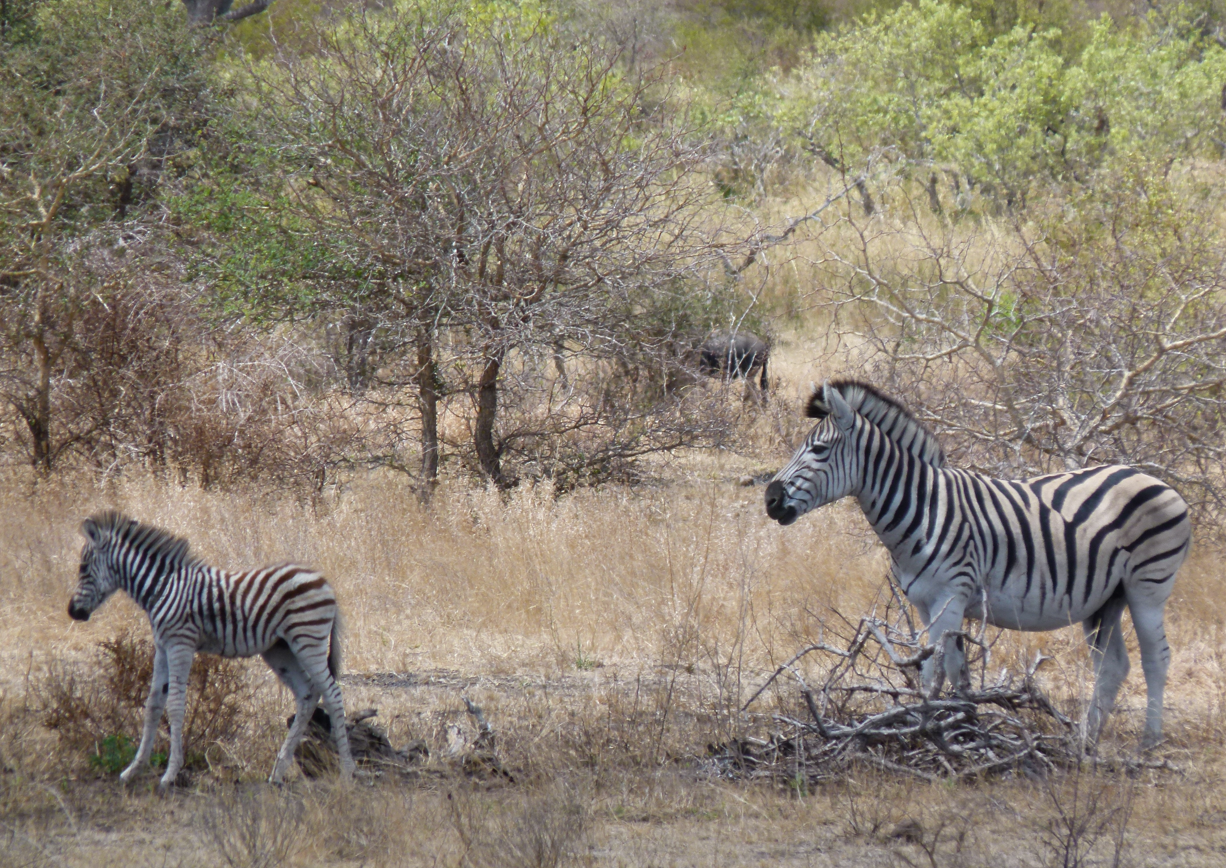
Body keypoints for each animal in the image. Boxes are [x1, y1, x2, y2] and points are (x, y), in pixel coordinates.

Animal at [68, 511, 356, 789]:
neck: (162, 588)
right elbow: (153, 704)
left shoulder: (180, 643)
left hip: (308, 640)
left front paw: (170, 774)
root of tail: (324, 580)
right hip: (280, 649)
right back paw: (278, 772)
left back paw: (346, 772)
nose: (72, 612)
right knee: (308, 694)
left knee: (332, 694)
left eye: (83, 567)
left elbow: (175, 704)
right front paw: (133, 770)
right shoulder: (162, 646)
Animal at [764, 380, 1191, 748]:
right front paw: (960, 724)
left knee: (1156, 658)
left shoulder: (951, 596)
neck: (923, 508)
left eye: (819, 450)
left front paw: (934, 730)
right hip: (1105, 599)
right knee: (1113, 665)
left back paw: (1148, 743)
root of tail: (1155, 481)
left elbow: (937, 673)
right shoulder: (926, 604)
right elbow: (949, 671)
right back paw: (1085, 742)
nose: (770, 500)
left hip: (1147, 586)